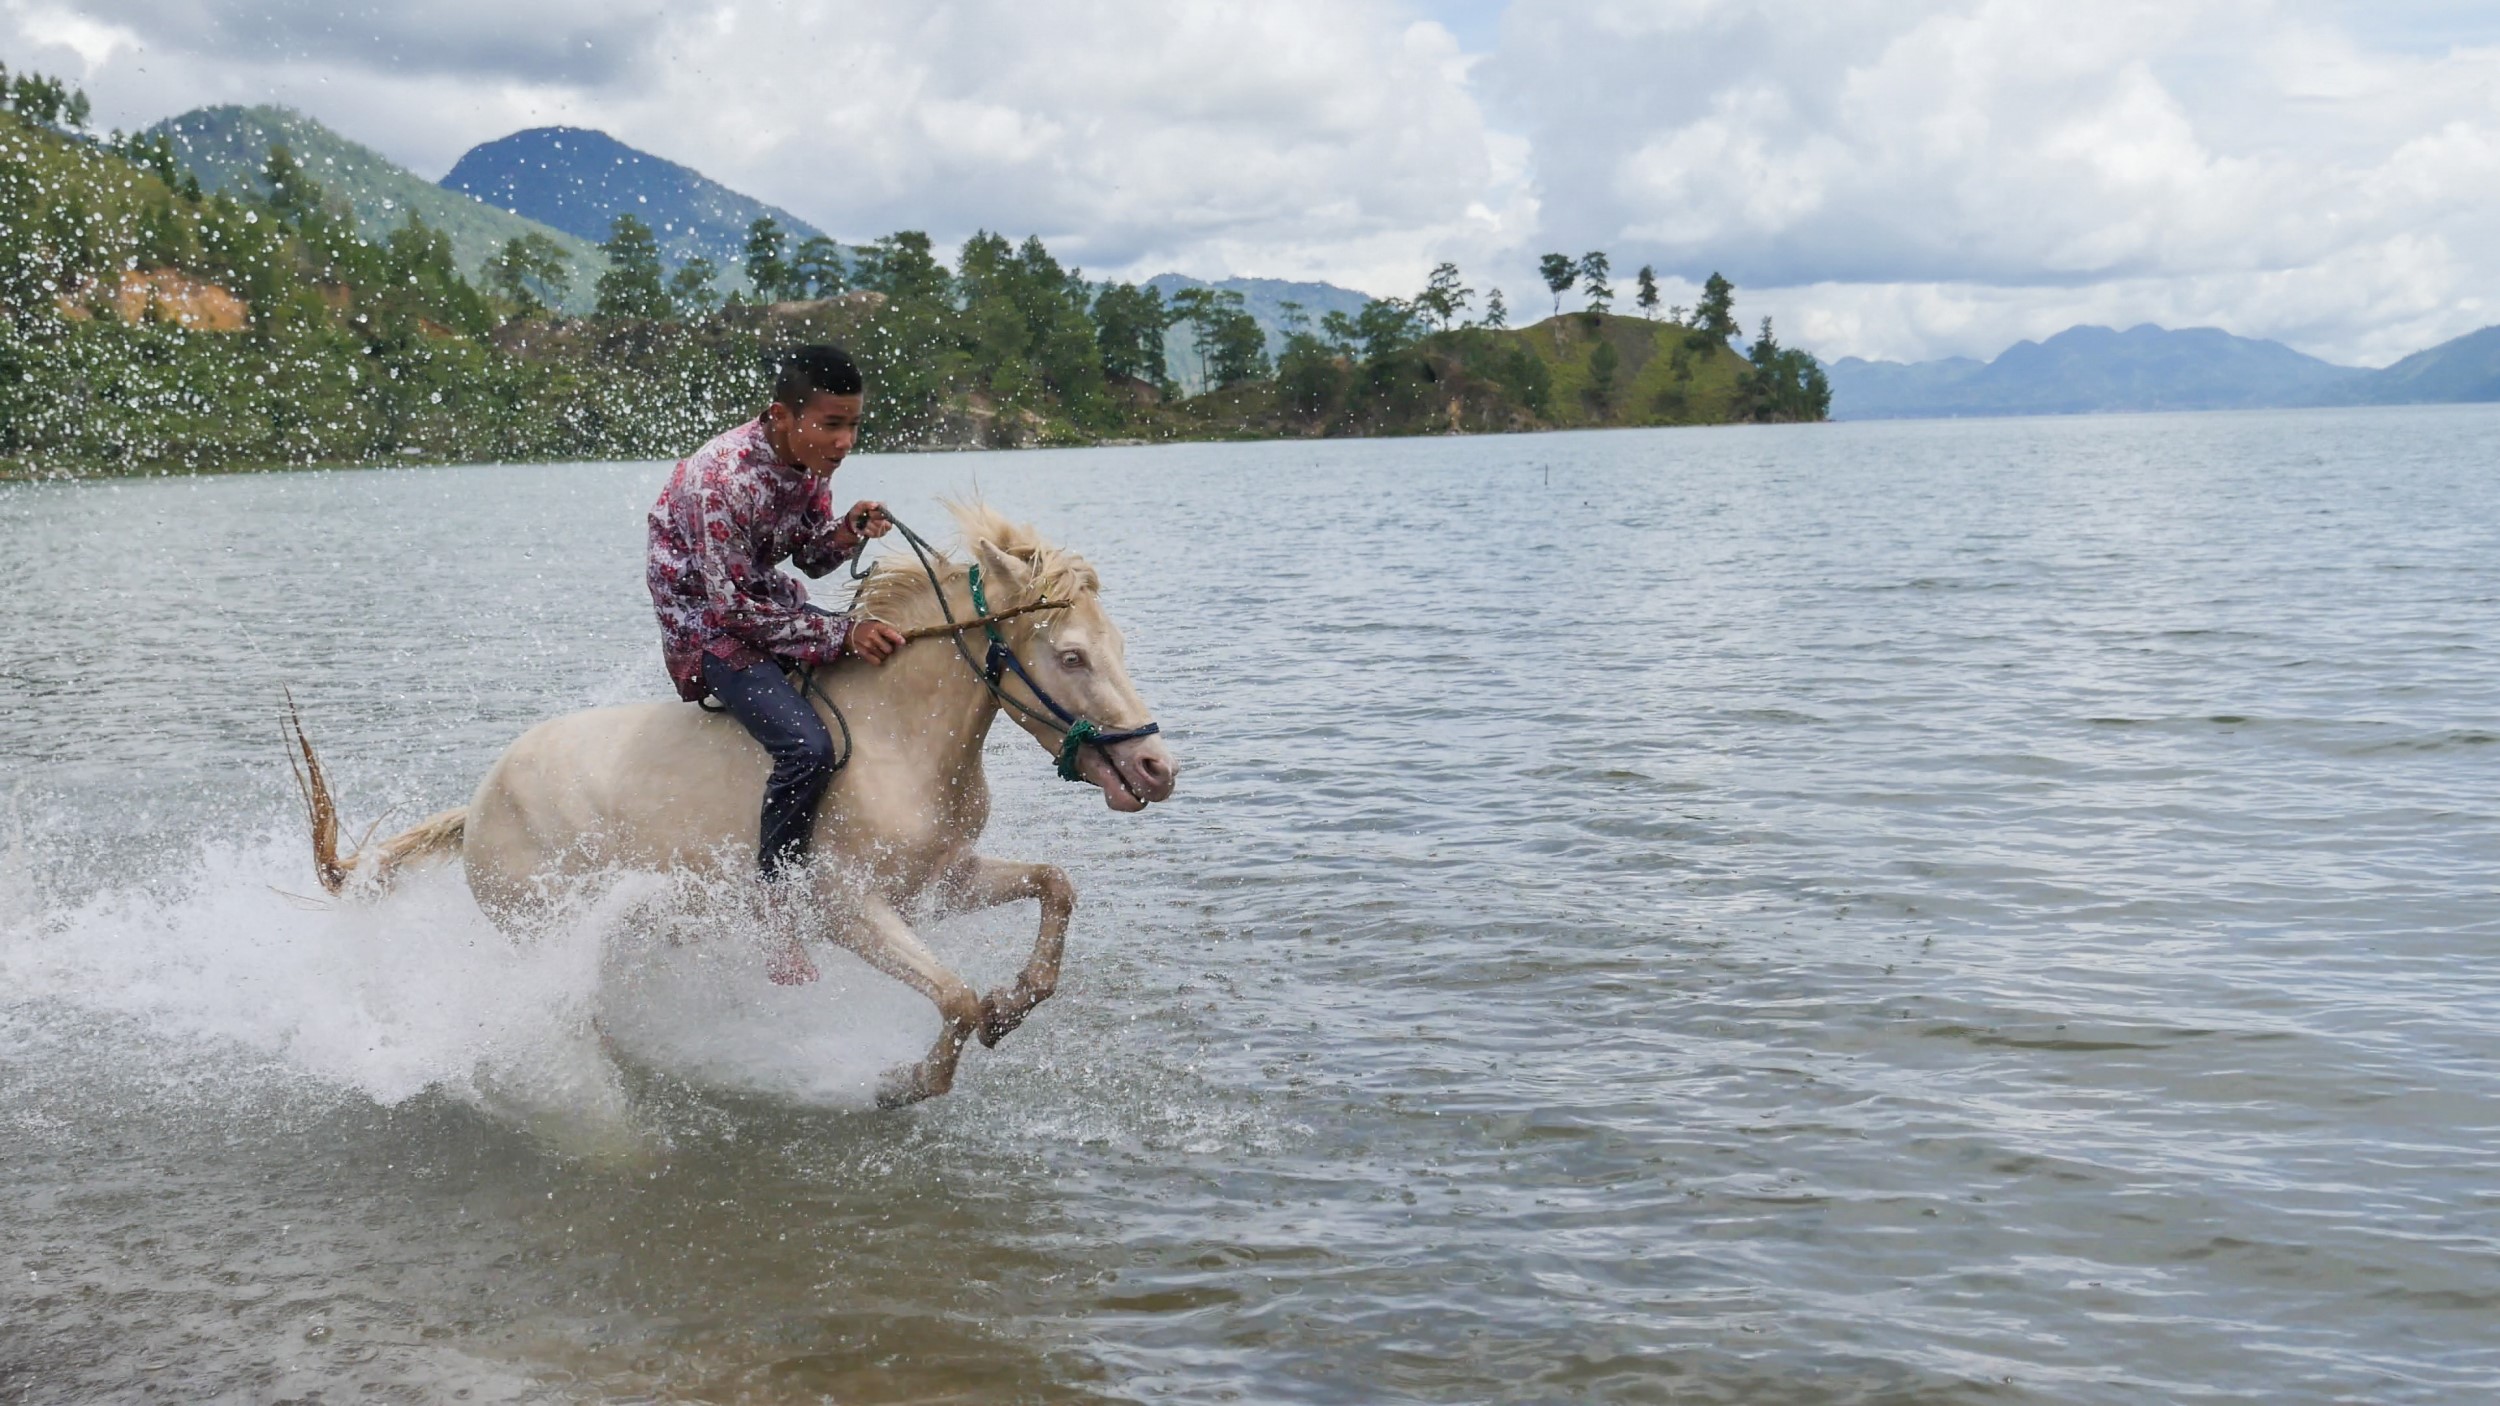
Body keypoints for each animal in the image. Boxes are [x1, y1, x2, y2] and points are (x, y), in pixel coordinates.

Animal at [295, 502, 1180, 1105]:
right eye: (1072, 656)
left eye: (1117, 646)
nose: (1157, 768)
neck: (900, 741)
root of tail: (479, 803)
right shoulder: (849, 910)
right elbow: (956, 997)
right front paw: (901, 1083)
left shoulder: (938, 883)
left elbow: (1056, 886)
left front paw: (1017, 1003)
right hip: (545, 928)